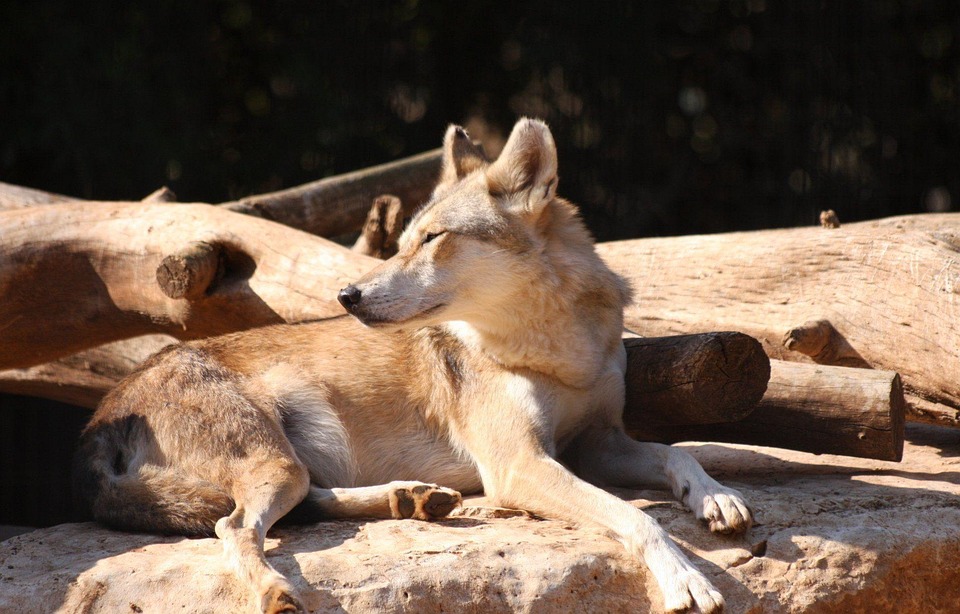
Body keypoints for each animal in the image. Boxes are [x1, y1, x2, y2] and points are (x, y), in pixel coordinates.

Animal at [73, 118, 752, 612]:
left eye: (432, 239)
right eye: (400, 243)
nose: (347, 295)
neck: (559, 346)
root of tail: (99, 417)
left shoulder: (598, 442)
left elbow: (674, 453)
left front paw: (715, 497)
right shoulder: (521, 466)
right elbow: (636, 519)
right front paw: (686, 580)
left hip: (290, 466)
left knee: (297, 504)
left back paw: (414, 500)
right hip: (274, 463)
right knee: (233, 528)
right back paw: (281, 589)